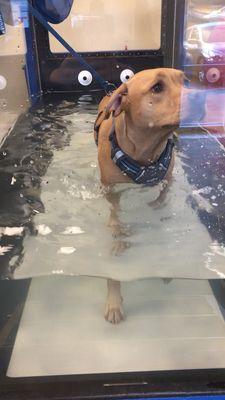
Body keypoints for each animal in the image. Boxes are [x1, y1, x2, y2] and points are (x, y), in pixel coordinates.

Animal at [95, 69, 188, 324]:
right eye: (157, 87)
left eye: (185, 80)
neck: (145, 151)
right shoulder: (111, 190)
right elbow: (115, 222)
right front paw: (114, 301)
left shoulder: (167, 180)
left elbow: (160, 203)